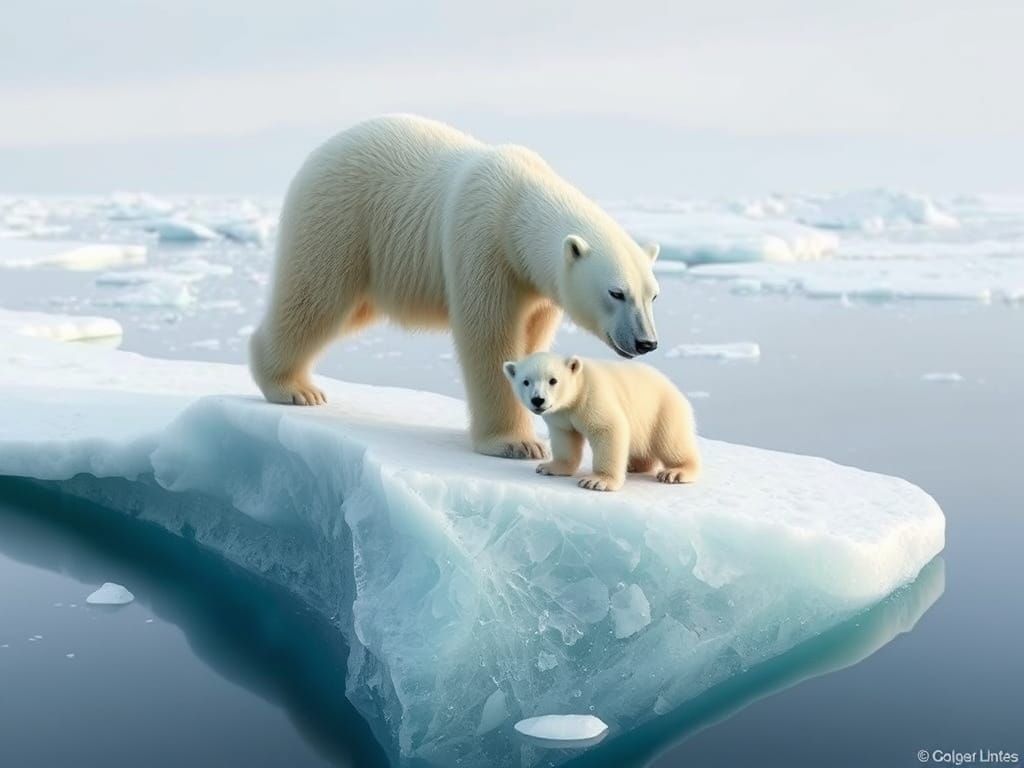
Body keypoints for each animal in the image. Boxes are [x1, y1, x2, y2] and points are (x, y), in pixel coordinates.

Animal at [249, 115, 661, 460]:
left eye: (652, 294)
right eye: (616, 292)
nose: (646, 342)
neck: (518, 205)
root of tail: (321, 151)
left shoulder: (537, 289)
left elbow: (532, 338)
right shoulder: (483, 244)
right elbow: (489, 337)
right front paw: (515, 444)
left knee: (348, 311)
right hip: (339, 218)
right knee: (315, 298)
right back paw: (293, 388)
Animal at [503, 352, 702, 491]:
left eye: (553, 380)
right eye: (525, 381)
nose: (538, 400)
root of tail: (676, 391)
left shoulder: (592, 397)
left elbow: (608, 429)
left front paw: (596, 481)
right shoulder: (561, 414)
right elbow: (565, 438)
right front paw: (549, 467)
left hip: (663, 411)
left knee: (671, 443)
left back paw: (675, 472)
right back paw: (633, 465)